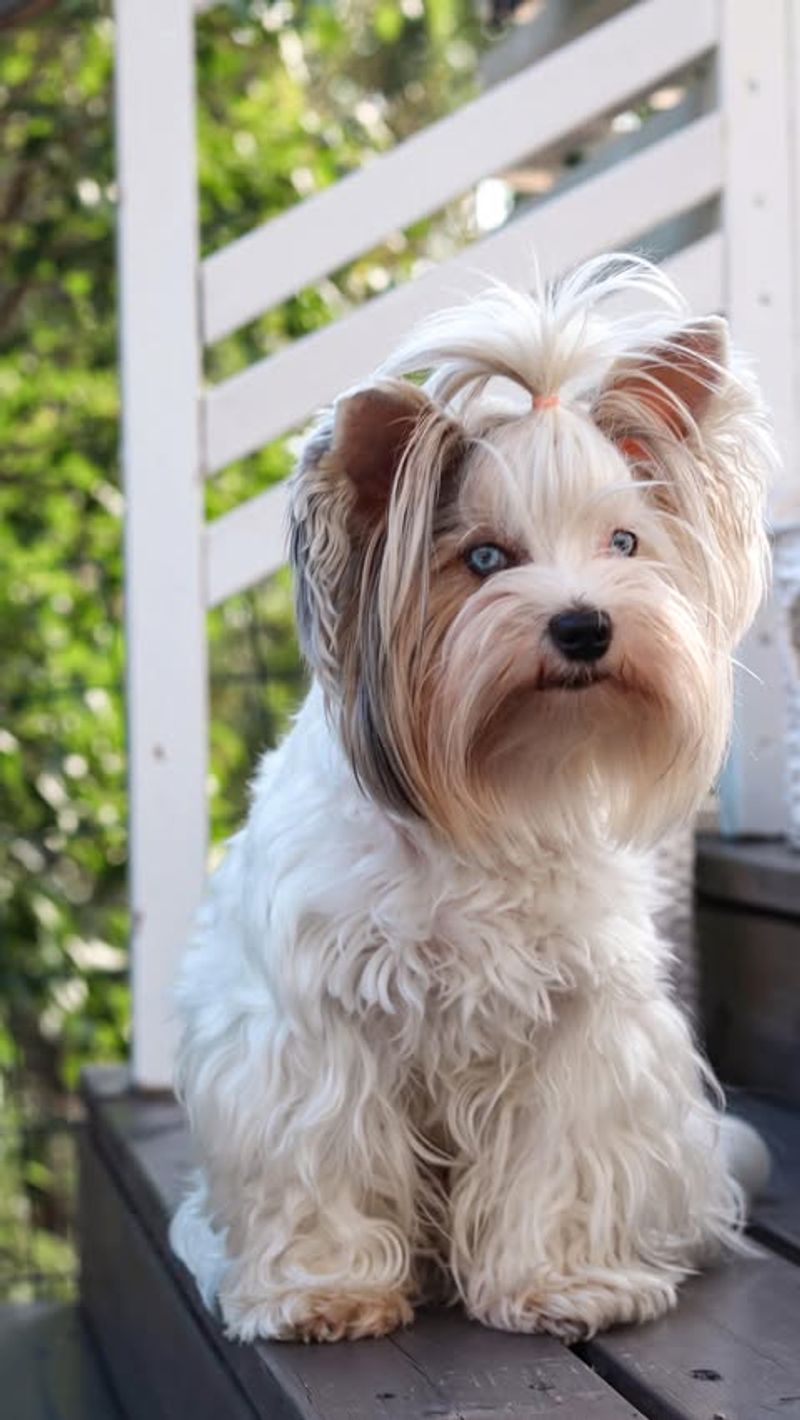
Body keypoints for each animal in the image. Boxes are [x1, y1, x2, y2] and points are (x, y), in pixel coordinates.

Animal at [170, 252, 778, 1340]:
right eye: (484, 559)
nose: (583, 625)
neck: (495, 787)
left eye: (624, 542)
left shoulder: (578, 1023)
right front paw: (326, 1289)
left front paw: (561, 1280)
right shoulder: (310, 1029)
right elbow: (325, 1151)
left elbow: (560, 1155)